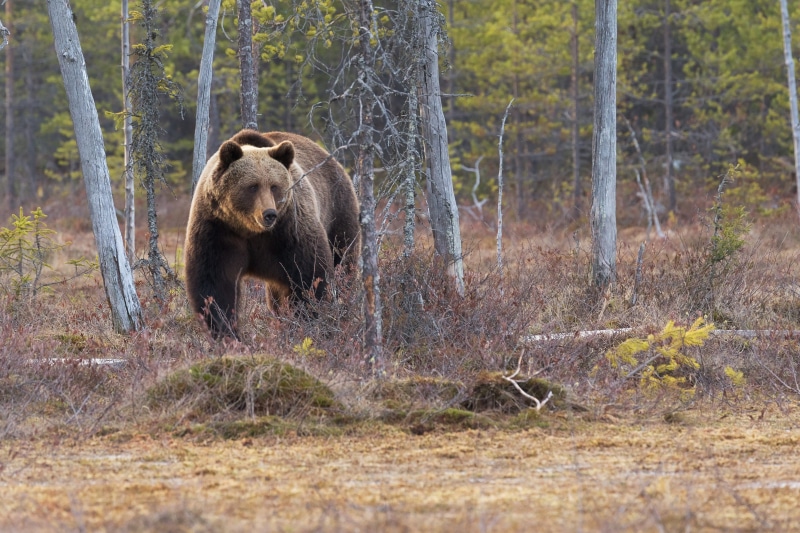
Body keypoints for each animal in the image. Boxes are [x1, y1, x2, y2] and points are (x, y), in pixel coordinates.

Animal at [184, 129, 361, 339]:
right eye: (252, 186)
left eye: (274, 186)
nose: (269, 214)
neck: (250, 230)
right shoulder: (217, 229)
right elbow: (215, 284)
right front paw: (226, 332)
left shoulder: (289, 230)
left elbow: (309, 277)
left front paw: (306, 323)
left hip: (338, 212)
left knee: (343, 264)